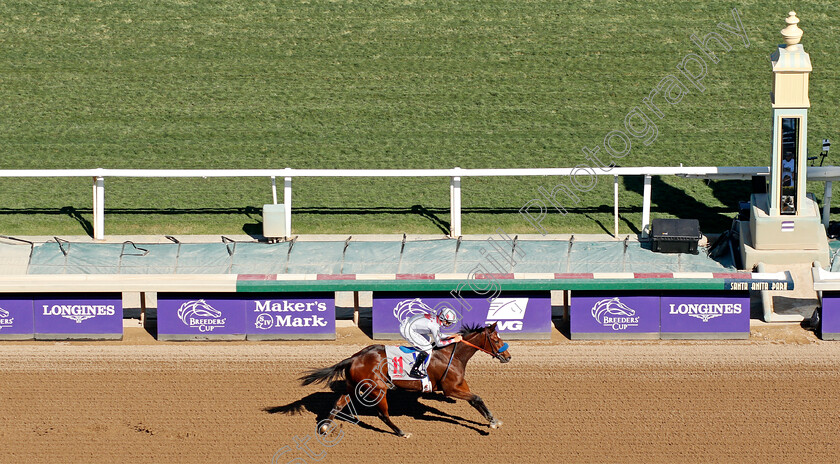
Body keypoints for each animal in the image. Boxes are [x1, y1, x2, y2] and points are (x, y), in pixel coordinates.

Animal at [302, 322, 512, 438]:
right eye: (495, 339)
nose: (508, 356)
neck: (452, 355)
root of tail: (354, 358)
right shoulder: (450, 388)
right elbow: (476, 398)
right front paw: (490, 424)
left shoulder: (460, 385)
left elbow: (477, 400)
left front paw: (493, 420)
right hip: (377, 389)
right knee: (383, 414)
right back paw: (402, 432)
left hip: (353, 386)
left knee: (338, 403)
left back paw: (325, 427)